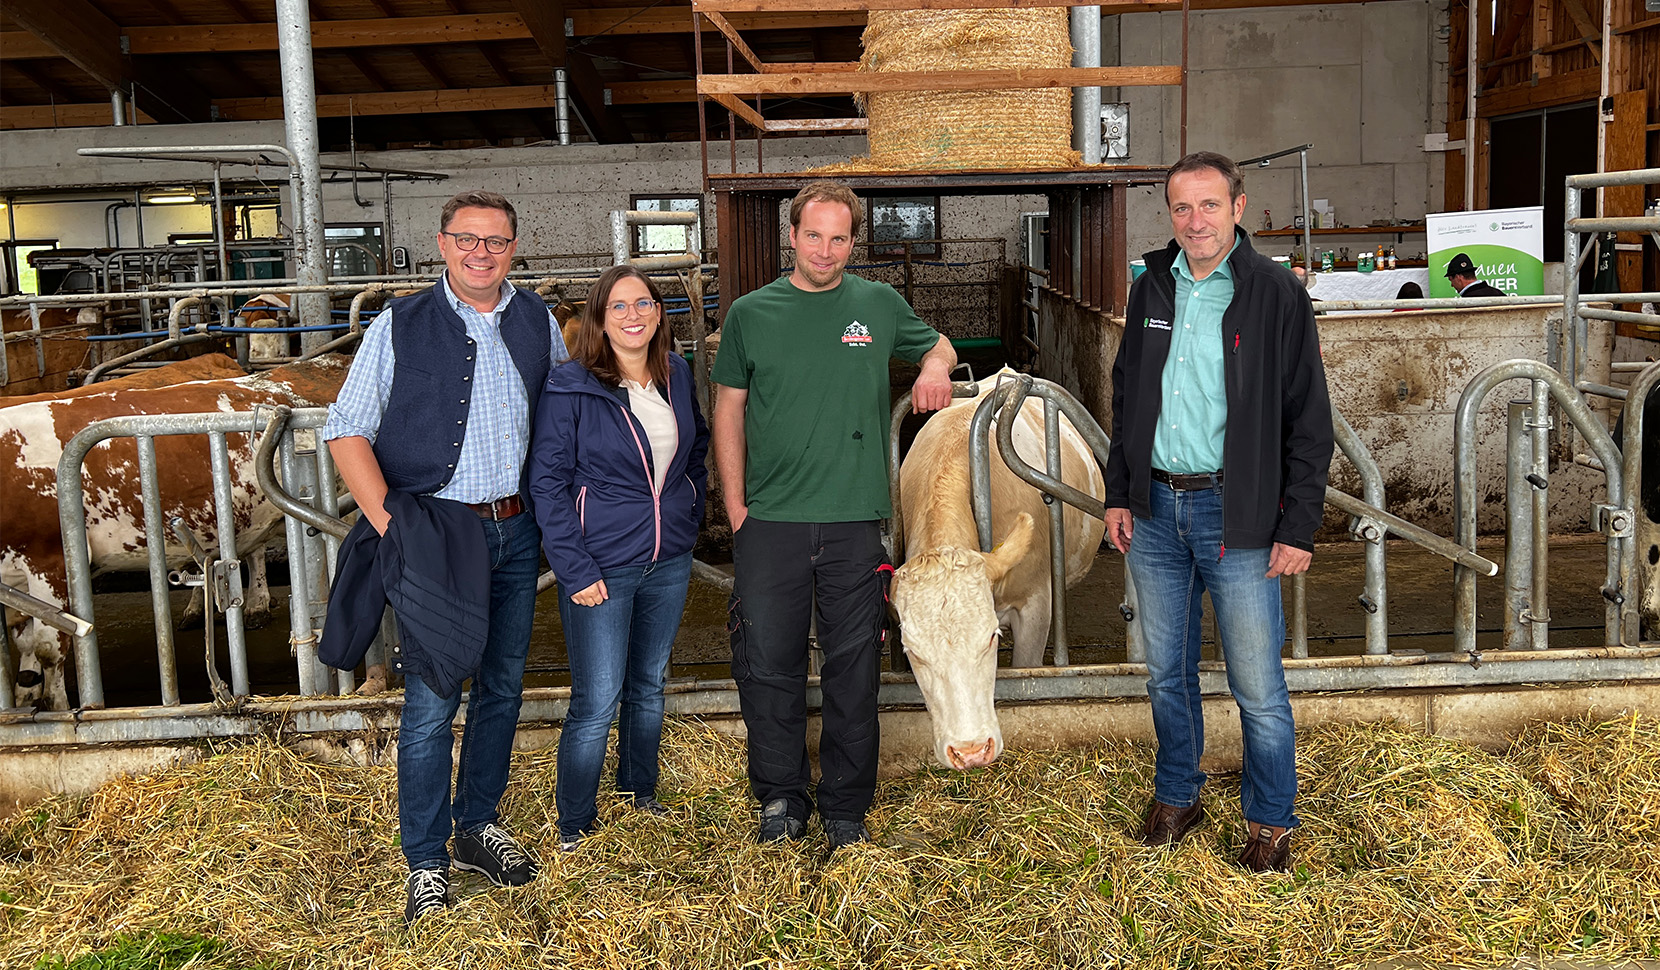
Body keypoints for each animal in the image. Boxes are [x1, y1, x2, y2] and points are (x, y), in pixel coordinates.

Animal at [0, 352, 350, 707]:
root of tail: (324, 362)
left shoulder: (50, 559)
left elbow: (47, 648)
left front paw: (59, 707)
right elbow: (25, 645)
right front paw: (25, 696)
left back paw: (256, 607)